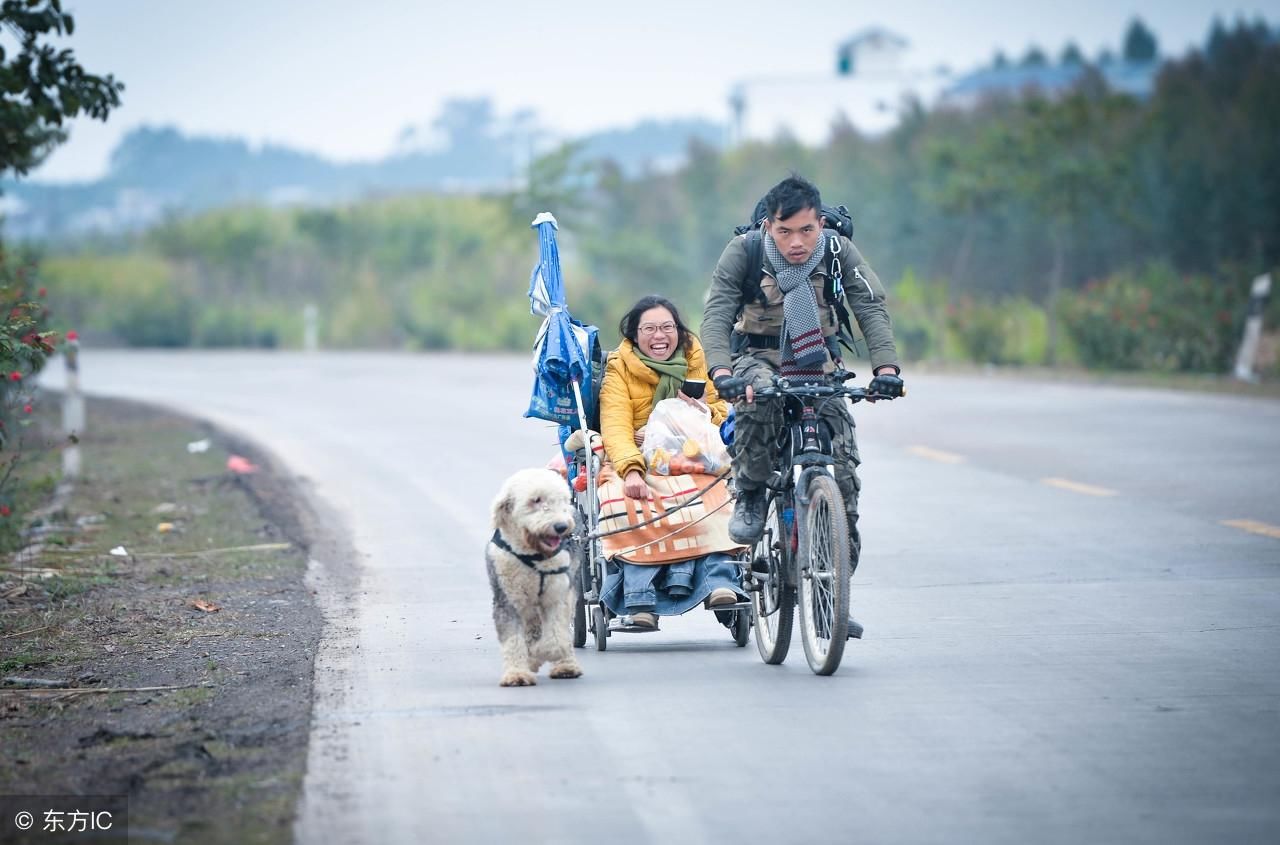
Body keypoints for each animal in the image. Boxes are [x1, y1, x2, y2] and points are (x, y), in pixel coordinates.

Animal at [481, 468, 583, 686]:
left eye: (562, 500)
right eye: (536, 500)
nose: (561, 527)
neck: (534, 555)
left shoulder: (557, 594)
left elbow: (556, 636)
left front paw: (538, 654)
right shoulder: (507, 598)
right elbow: (513, 638)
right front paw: (517, 674)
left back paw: (566, 667)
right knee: (532, 624)